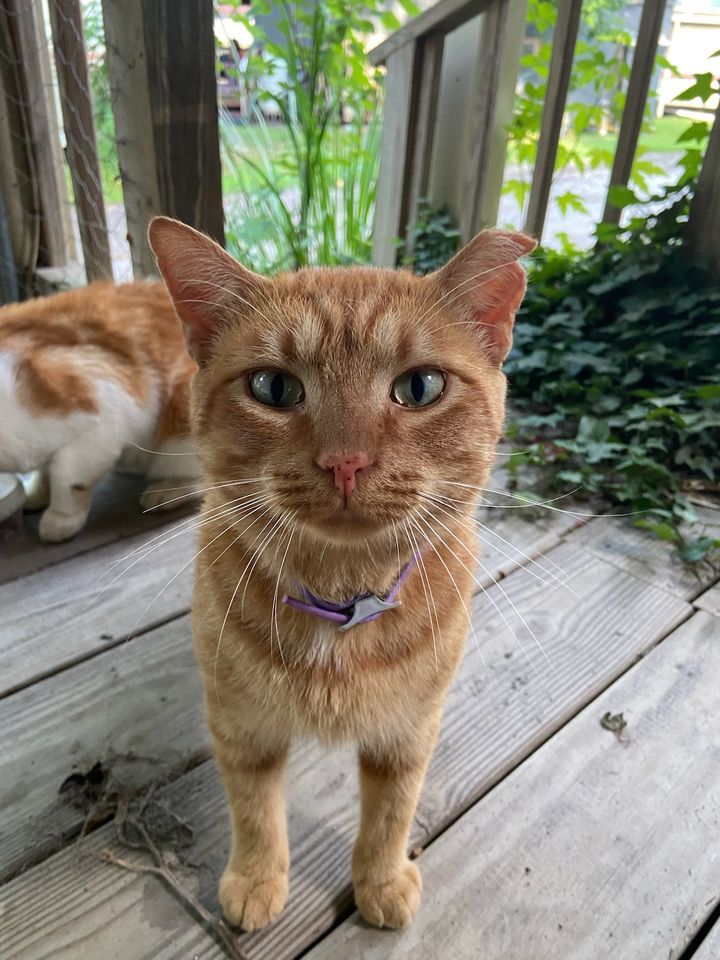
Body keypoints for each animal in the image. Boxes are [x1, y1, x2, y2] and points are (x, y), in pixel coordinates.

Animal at [0, 282, 200, 544]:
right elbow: (45, 469)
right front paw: (37, 493)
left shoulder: (104, 410)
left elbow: (67, 477)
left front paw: (61, 518)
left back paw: (166, 491)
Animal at [150, 214, 536, 928]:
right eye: (273, 388)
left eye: (420, 387)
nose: (346, 462)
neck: (341, 594)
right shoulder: (241, 725)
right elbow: (254, 811)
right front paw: (257, 879)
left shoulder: (409, 731)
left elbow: (390, 814)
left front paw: (380, 882)